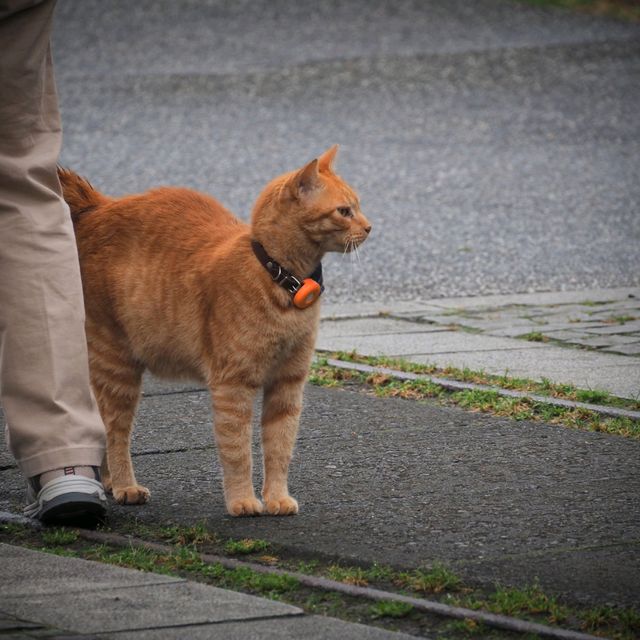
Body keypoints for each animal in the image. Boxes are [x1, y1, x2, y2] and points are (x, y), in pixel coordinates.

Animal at [60, 148, 372, 516]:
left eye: (358, 206)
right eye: (344, 211)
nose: (369, 227)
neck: (284, 281)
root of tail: (99, 204)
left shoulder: (288, 385)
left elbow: (280, 447)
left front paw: (277, 498)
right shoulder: (233, 385)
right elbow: (238, 451)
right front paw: (242, 500)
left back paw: (109, 482)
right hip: (117, 366)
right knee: (114, 432)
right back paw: (125, 486)